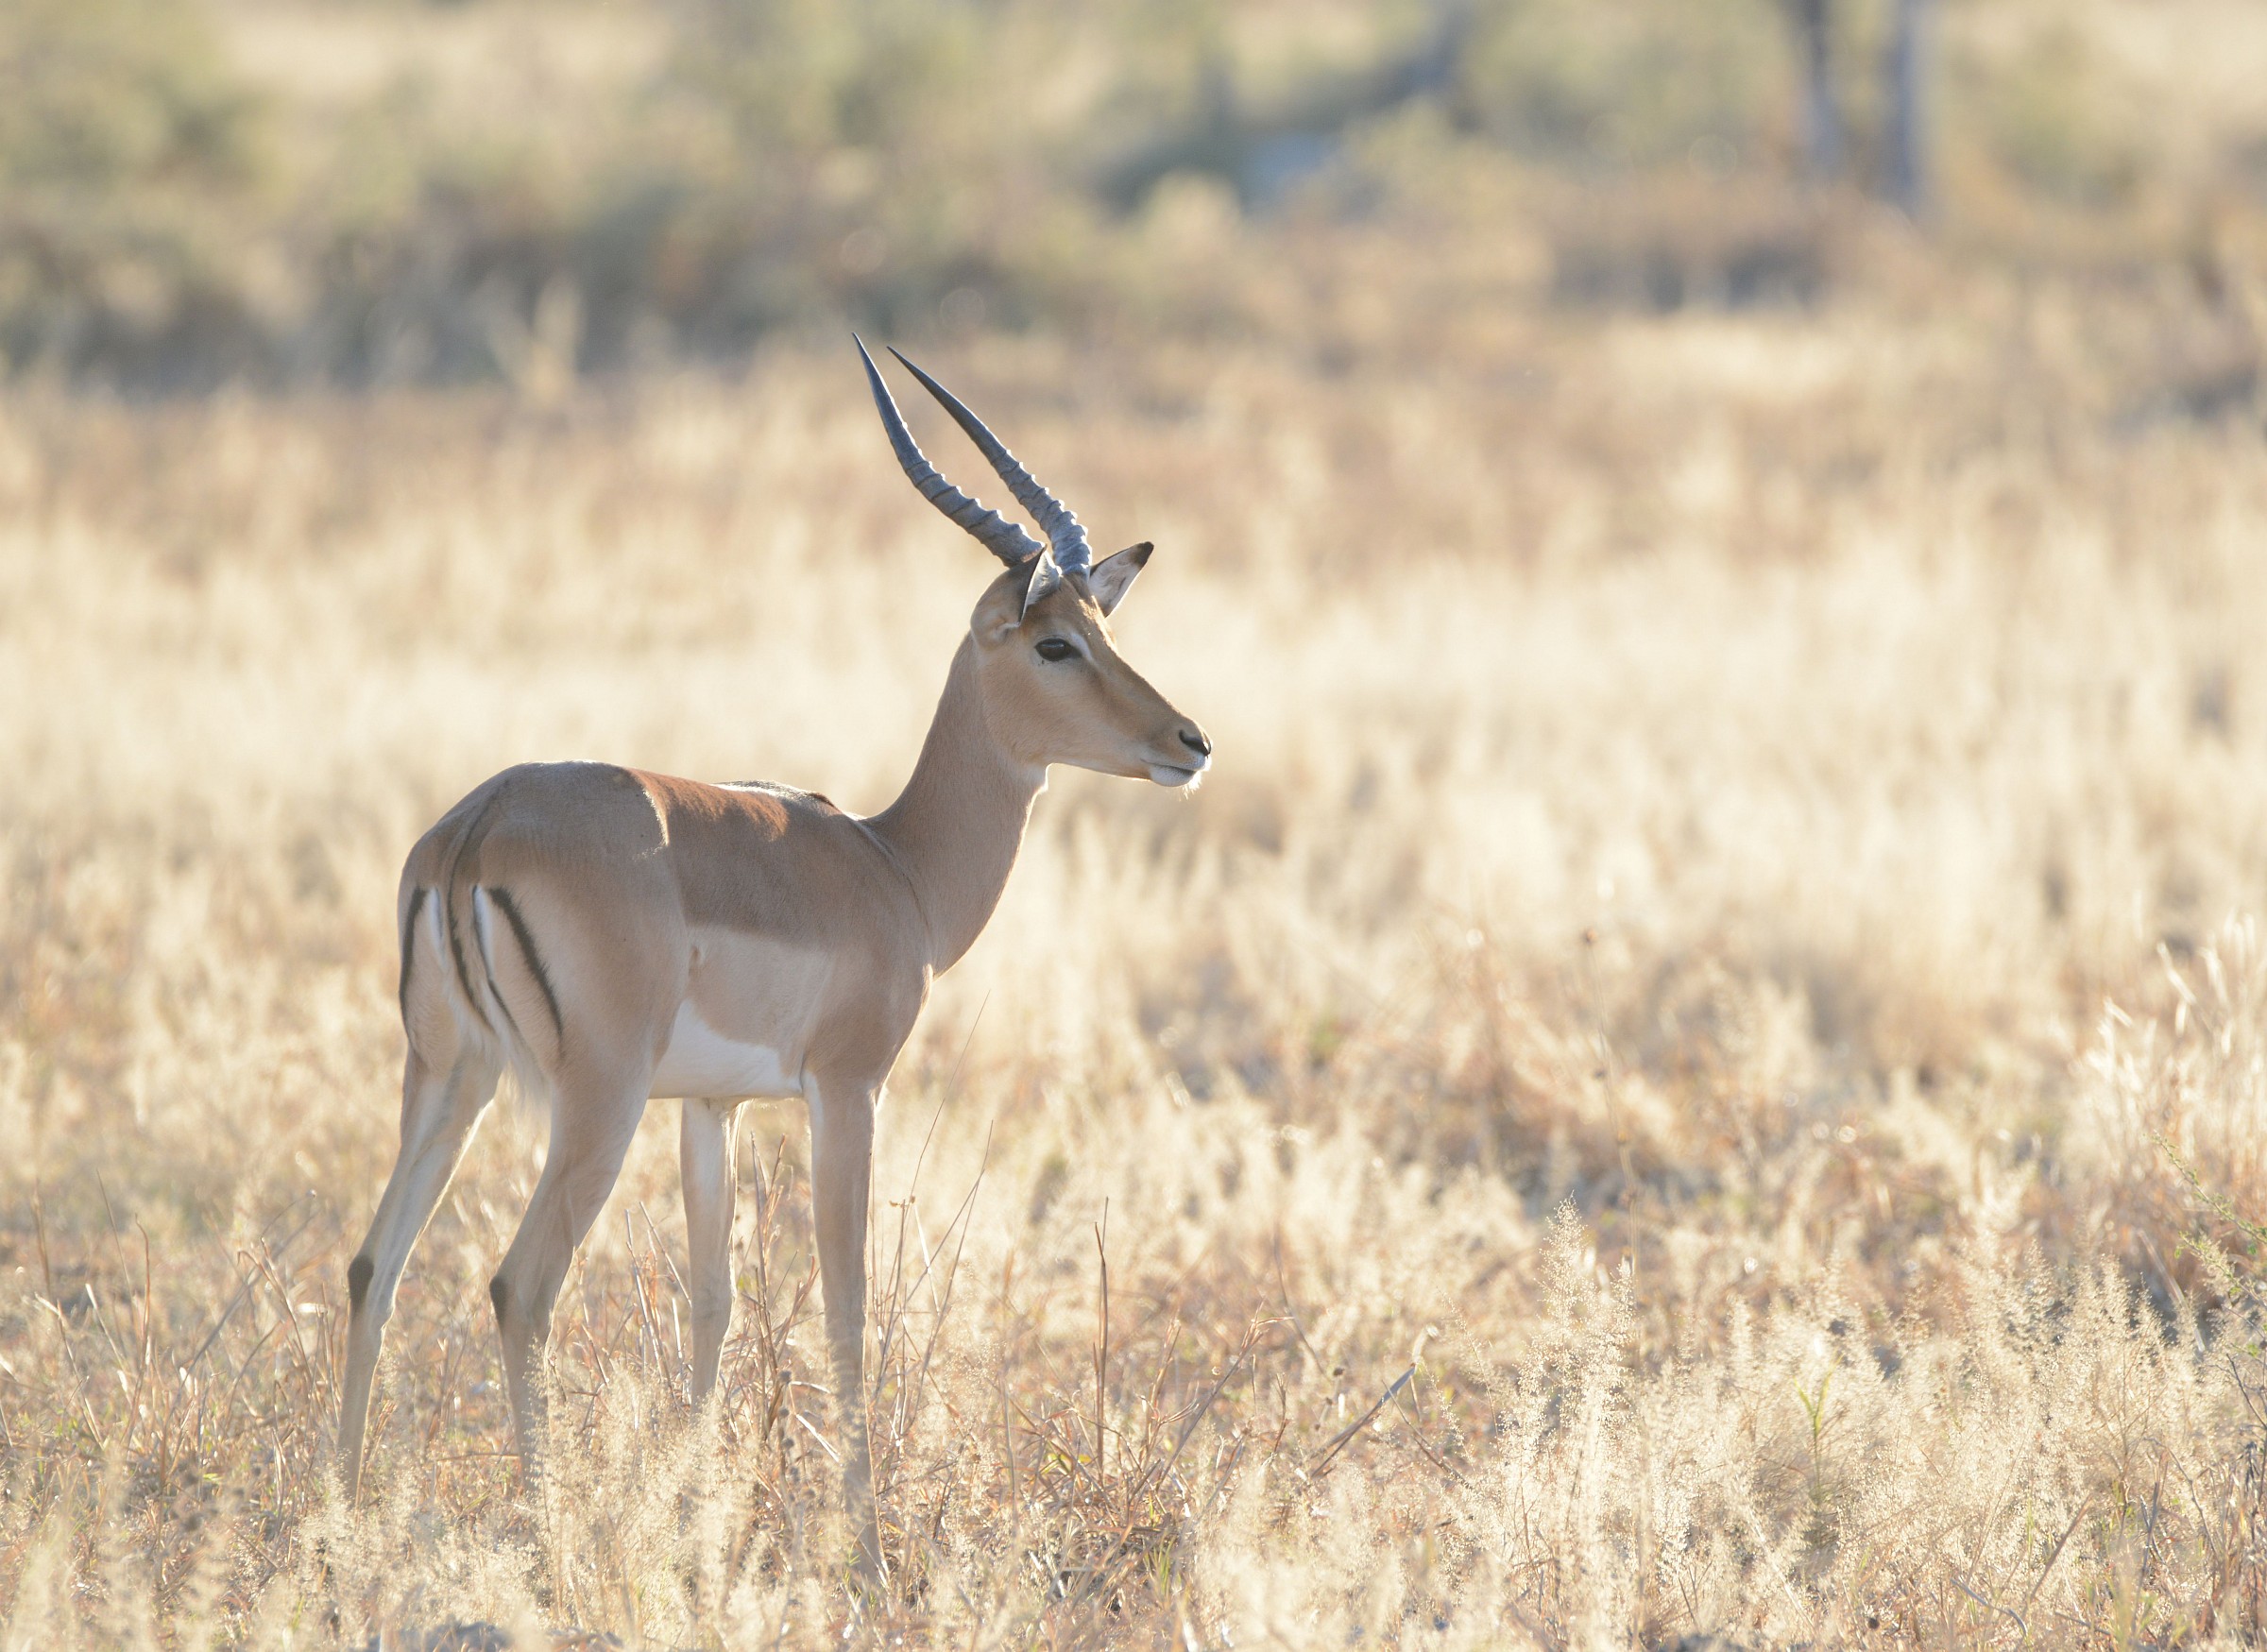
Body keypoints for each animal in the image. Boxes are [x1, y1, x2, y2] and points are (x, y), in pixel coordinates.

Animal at [336, 340, 1210, 1568]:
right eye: (1055, 643)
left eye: (1109, 632)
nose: (1190, 741)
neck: (897, 870)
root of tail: (479, 825)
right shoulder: (847, 1090)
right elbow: (847, 1307)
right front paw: (870, 1552)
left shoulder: (712, 1109)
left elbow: (716, 1303)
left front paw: (698, 1517)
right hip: (593, 1101)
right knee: (521, 1286)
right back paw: (548, 1542)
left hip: (450, 1076)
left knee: (376, 1264)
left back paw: (335, 1515)